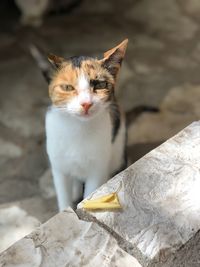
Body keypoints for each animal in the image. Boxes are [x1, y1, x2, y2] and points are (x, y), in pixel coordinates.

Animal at [30, 39, 129, 211]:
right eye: (67, 87)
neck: (78, 128)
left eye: (100, 85)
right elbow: (64, 198)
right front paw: (65, 209)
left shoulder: (97, 168)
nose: (86, 104)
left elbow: (90, 194)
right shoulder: (59, 168)